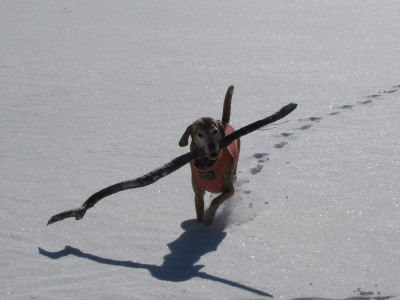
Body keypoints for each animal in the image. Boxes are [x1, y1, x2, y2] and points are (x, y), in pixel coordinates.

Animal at [179, 85, 241, 225]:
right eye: (200, 134)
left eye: (215, 131)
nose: (213, 149)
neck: (206, 164)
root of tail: (225, 123)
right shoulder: (197, 193)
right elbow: (199, 210)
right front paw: (199, 225)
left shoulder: (229, 190)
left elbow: (215, 200)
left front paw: (209, 218)